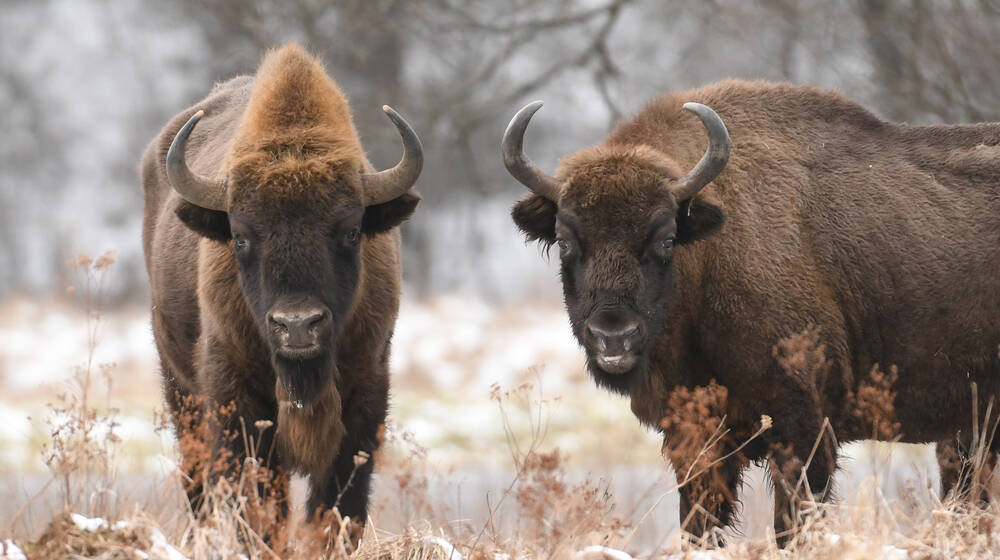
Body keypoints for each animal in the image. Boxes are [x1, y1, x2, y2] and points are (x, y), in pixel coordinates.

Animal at [142, 43, 422, 524]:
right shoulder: (235, 402)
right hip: (180, 389)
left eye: (351, 231)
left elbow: (339, 504)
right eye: (240, 236)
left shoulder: (366, 395)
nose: (297, 325)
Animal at [504, 79, 1000, 540]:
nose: (613, 335)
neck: (710, 252)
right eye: (565, 240)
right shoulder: (696, 441)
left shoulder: (803, 429)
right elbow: (699, 525)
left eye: (666, 238)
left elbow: (792, 525)